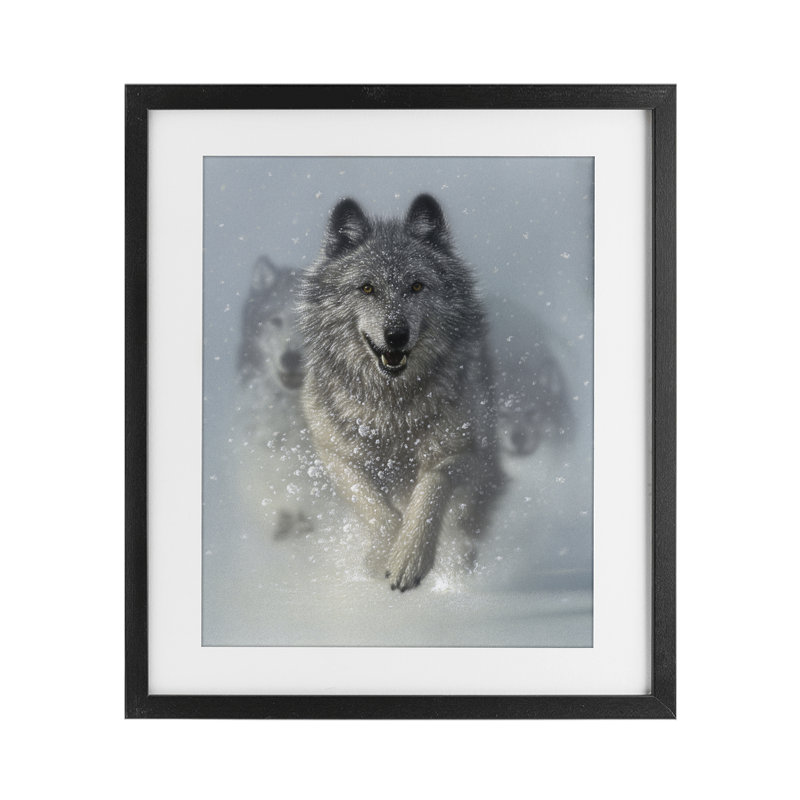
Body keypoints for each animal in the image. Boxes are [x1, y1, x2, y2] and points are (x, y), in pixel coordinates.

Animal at [298, 194, 502, 591]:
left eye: (417, 286)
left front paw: (409, 558)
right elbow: (373, 505)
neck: (392, 410)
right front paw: (384, 554)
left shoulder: (464, 451)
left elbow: (430, 490)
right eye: (367, 288)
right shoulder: (334, 454)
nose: (396, 335)